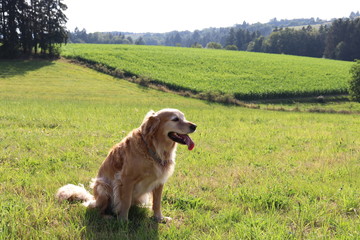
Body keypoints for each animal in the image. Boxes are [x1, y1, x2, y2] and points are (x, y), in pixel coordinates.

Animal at [56, 108, 197, 221]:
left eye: (183, 117)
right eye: (175, 119)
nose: (195, 126)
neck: (153, 148)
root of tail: (93, 199)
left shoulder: (159, 182)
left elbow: (157, 203)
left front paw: (159, 218)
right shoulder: (126, 180)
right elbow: (126, 202)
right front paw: (123, 221)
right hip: (103, 186)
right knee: (98, 209)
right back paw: (107, 216)